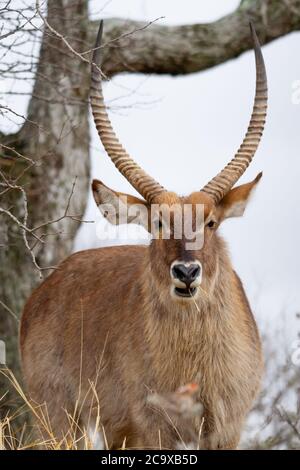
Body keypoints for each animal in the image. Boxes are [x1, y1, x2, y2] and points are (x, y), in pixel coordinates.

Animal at [19, 20, 268, 450]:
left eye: (210, 222)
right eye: (158, 223)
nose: (186, 273)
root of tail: (44, 289)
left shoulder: (226, 430)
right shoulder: (147, 428)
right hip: (58, 418)